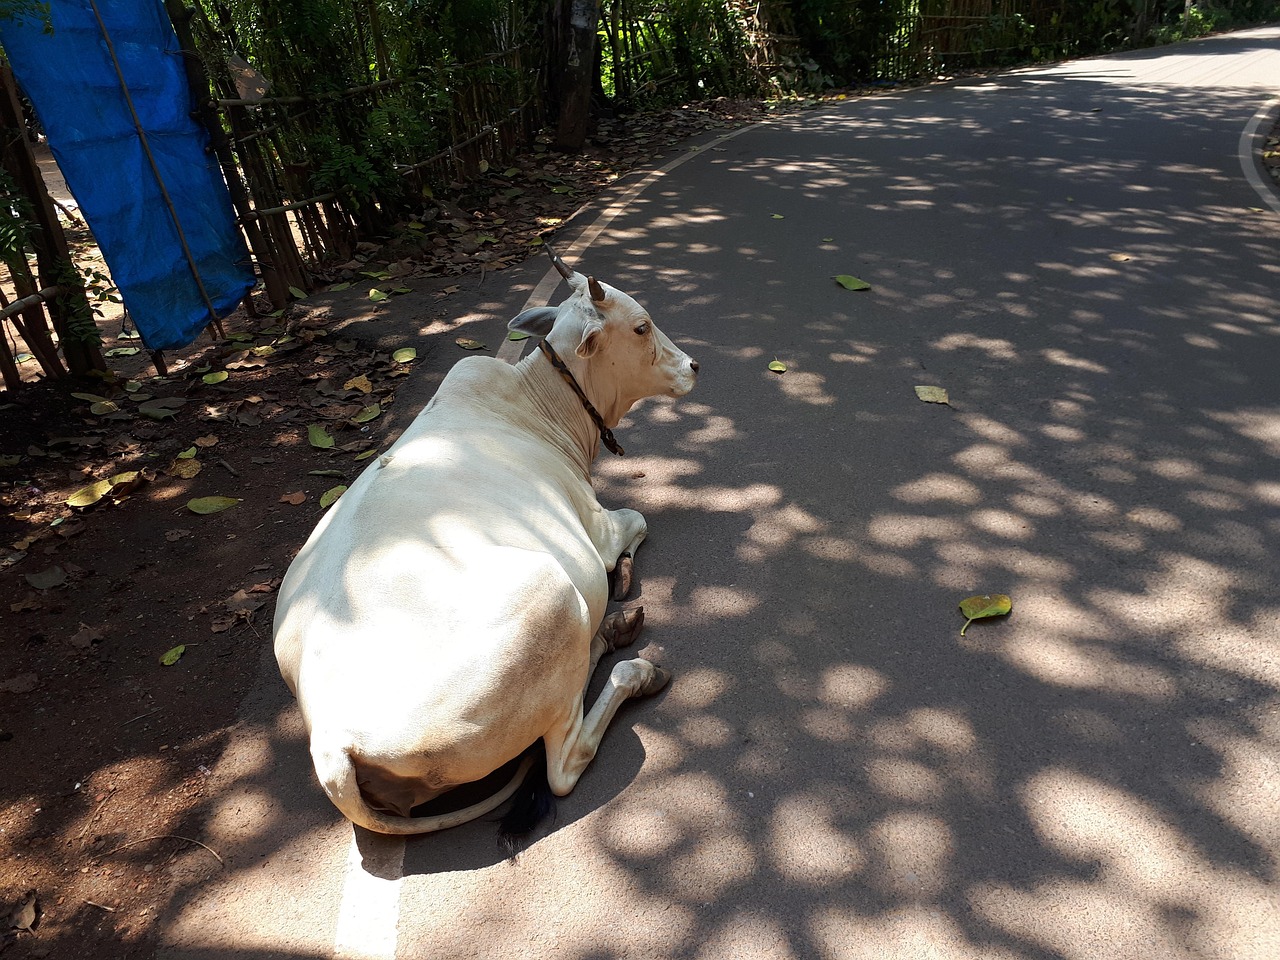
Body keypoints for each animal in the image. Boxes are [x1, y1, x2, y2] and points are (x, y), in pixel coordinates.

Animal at [272, 246, 699, 840]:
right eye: (640, 327)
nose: (692, 367)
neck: (539, 408)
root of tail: (332, 745)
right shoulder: (597, 529)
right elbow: (637, 520)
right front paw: (626, 576)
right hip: (553, 597)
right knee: (564, 761)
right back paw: (634, 666)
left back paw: (612, 631)